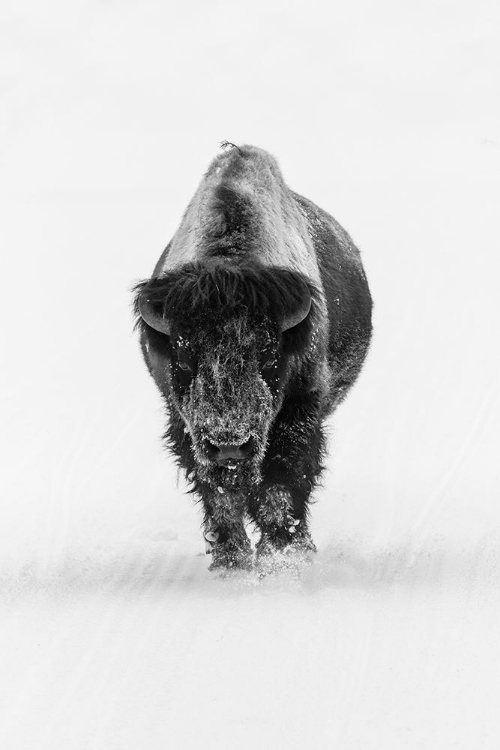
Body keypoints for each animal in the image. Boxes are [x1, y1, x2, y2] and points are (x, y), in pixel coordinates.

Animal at [133, 144, 372, 572]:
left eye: (269, 355)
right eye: (183, 356)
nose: (229, 444)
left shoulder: (298, 413)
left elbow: (281, 484)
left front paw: (282, 555)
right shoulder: (186, 425)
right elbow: (220, 493)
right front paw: (231, 560)